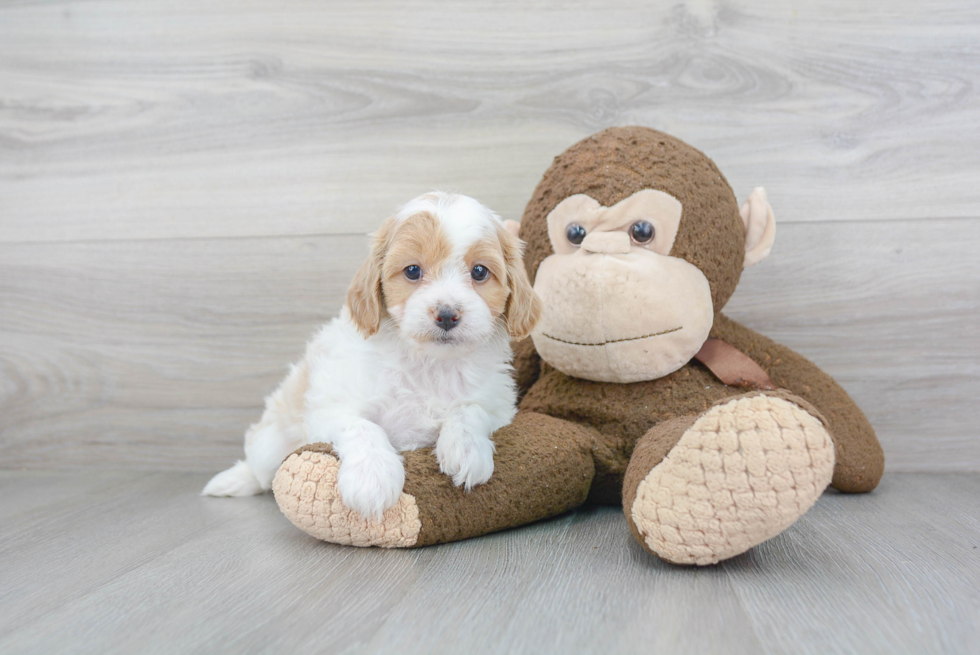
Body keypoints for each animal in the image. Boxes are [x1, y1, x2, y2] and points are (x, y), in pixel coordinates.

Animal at [202, 192, 540, 520]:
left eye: (480, 272)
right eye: (413, 271)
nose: (446, 314)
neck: (429, 364)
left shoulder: (498, 404)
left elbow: (470, 409)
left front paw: (466, 449)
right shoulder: (329, 406)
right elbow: (363, 426)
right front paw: (372, 480)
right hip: (271, 442)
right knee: (259, 469)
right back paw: (234, 481)